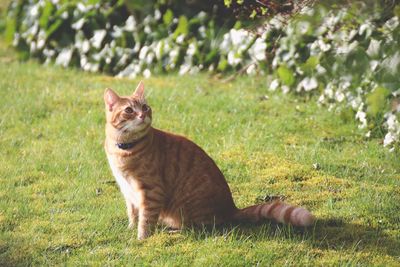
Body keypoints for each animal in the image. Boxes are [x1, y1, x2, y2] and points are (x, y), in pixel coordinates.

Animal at [104, 81, 314, 241]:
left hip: (187, 210)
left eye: (145, 107)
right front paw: (131, 228)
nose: (143, 115)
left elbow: (146, 218)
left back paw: (174, 231)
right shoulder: (128, 190)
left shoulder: (151, 191)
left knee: (199, 228)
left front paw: (142, 238)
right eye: (129, 110)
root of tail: (231, 208)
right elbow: (133, 213)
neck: (123, 148)